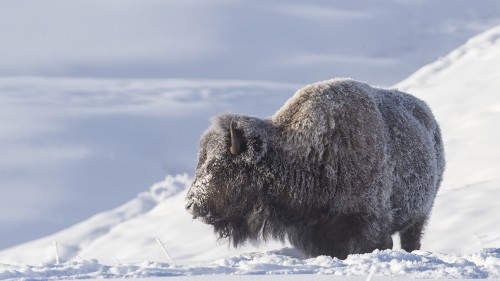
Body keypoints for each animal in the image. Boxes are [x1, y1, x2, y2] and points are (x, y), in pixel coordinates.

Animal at [185, 77, 446, 258]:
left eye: (221, 166)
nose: (190, 203)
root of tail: (429, 118)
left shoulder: (368, 226)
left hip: (420, 216)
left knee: (411, 240)